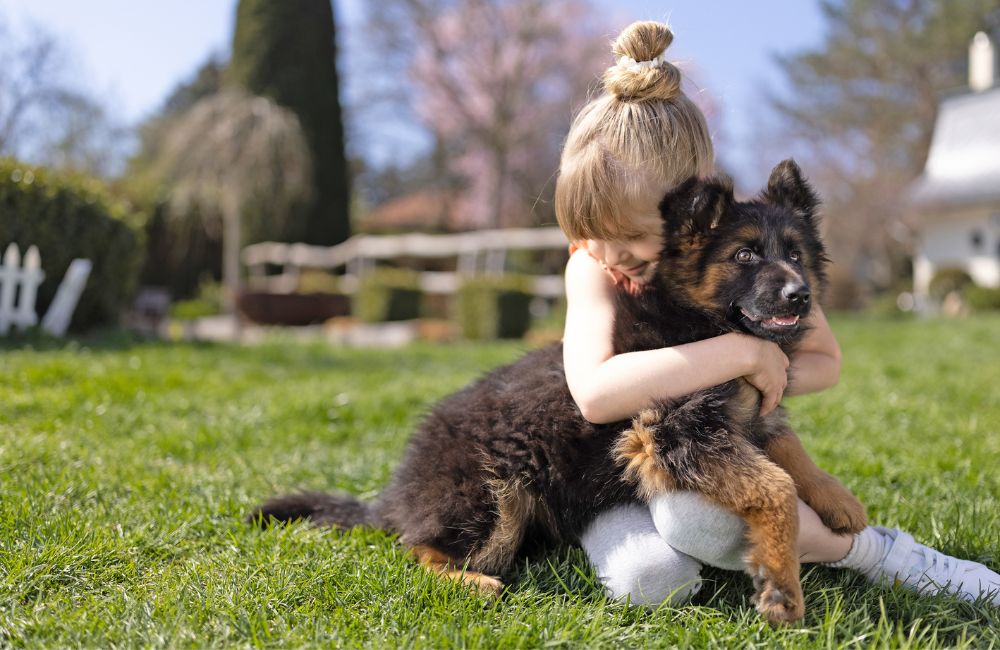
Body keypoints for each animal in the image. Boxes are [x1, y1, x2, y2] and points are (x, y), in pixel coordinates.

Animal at [250, 158, 868, 624]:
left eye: (794, 253)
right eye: (744, 255)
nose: (800, 295)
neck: (702, 323)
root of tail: (398, 496)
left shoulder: (749, 417)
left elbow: (788, 450)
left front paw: (838, 499)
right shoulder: (672, 430)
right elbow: (775, 486)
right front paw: (783, 587)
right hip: (495, 493)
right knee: (415, 549)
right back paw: (469, 582)